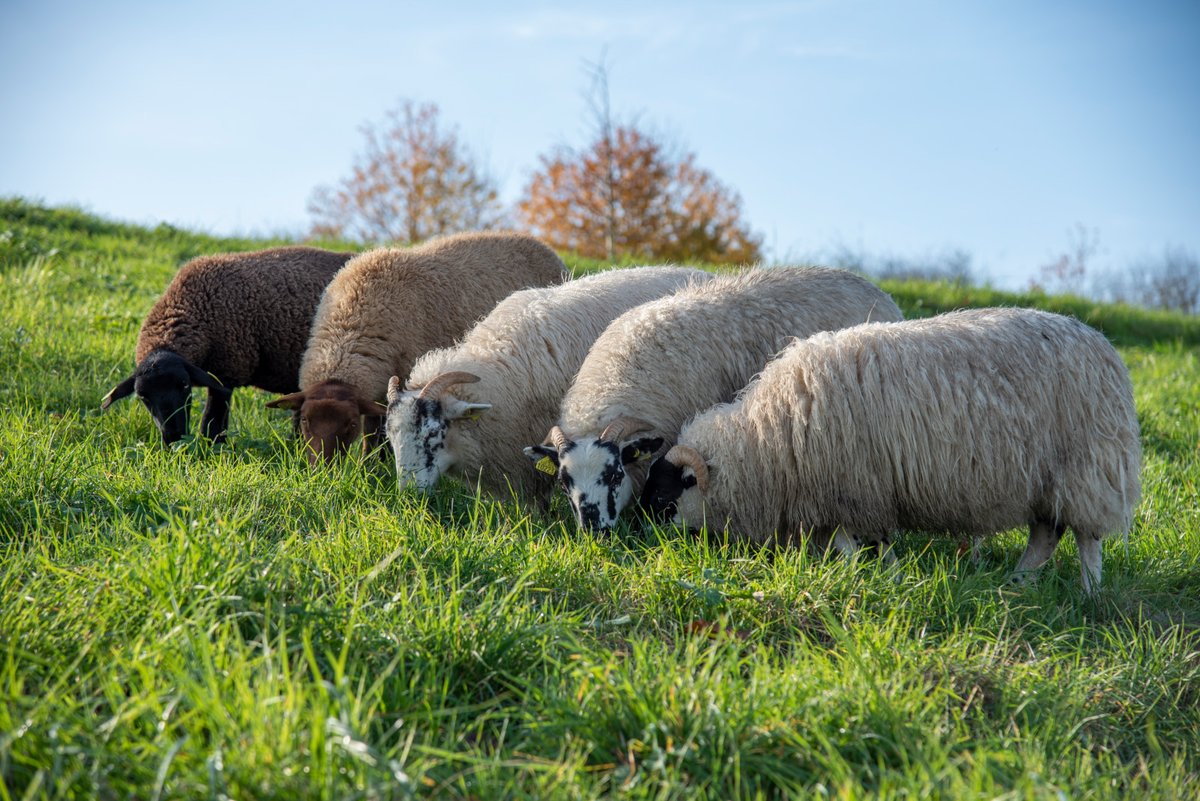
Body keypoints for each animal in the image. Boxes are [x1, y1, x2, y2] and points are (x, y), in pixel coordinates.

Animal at [101, 246, 354, 444]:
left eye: (184, 385)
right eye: (143, 397)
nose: (173, 438)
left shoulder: (227, 370)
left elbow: (212, 420)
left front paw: (211, 448)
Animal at [266, 231, 567, 465]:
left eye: (350, 424)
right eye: (305, 421)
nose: (322, 468)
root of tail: (544, 247)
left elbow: (373, 435)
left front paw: (372, 468)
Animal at [640, 307, 1141, 595]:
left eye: (665, 495)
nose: (641, 538)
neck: (766, 439)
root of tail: (1105, 348)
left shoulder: (860, 488)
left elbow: (869, 542)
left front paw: (885, 576)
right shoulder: (837, 496)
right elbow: (846, 542)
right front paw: (862, 573)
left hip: (1087, 469)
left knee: (1086, 539)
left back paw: (1090, 594)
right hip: (1046, 482)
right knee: (1045, 535)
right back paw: (1016, 583)